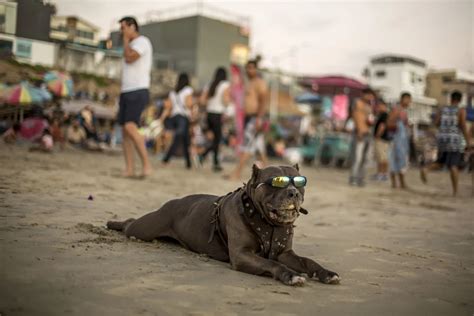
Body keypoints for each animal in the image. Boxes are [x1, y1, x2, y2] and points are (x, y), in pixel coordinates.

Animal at [106, 164, 340, 286]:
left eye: (299, 183)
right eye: (277, 182)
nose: (293, 193)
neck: (268, 223)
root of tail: (173, 202)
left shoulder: (285, 253)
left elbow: (308, 261)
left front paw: (326, 273)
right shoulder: (242, 254)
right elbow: (271, 263)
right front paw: (290, 275)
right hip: (145, 228)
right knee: (130, 224)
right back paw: (113, 223)